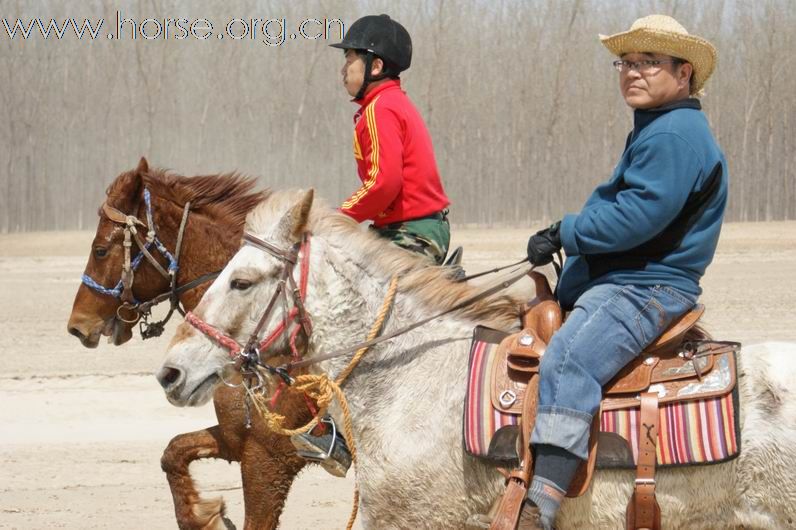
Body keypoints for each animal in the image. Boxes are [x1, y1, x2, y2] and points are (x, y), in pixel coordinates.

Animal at [67, 158, 312, 528]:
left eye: (100, 249)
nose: (77, 325)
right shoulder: (236, 439)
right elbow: (174, 452)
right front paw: (203, 515)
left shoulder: (269, 457)